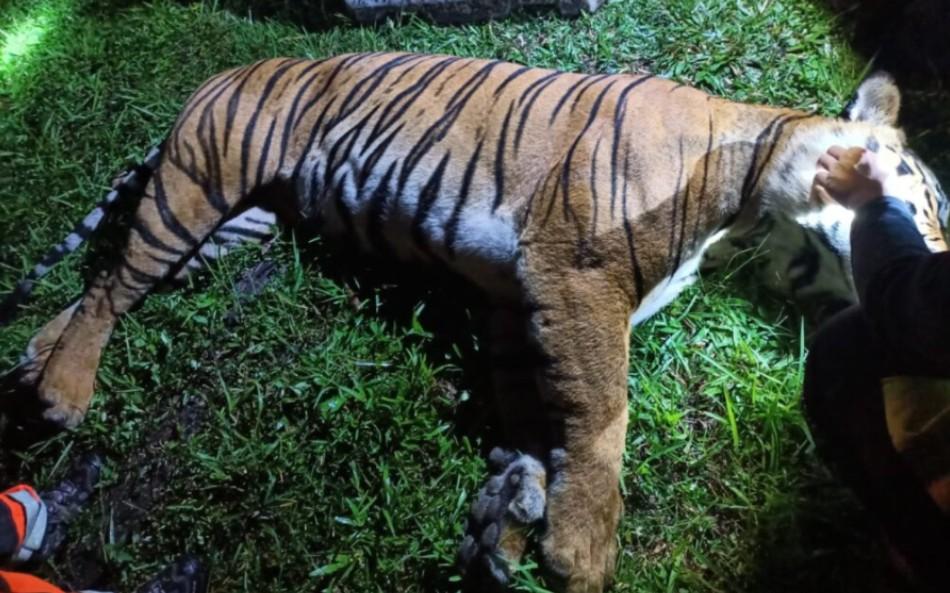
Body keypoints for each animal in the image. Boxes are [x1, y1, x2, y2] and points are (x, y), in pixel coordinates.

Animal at [2, 53, 947, 593]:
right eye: (934, 204)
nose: (940, 262)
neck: (750, 196)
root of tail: (220, 79)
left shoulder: (515, 303)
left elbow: (534, 412)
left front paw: (510, 519)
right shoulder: (575, 275)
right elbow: (602, 413)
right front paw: (581, 550)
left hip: (228, 229)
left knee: (105, 283)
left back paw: (37, 363)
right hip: (201, 179)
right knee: (115, 284)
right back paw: (64, 392)